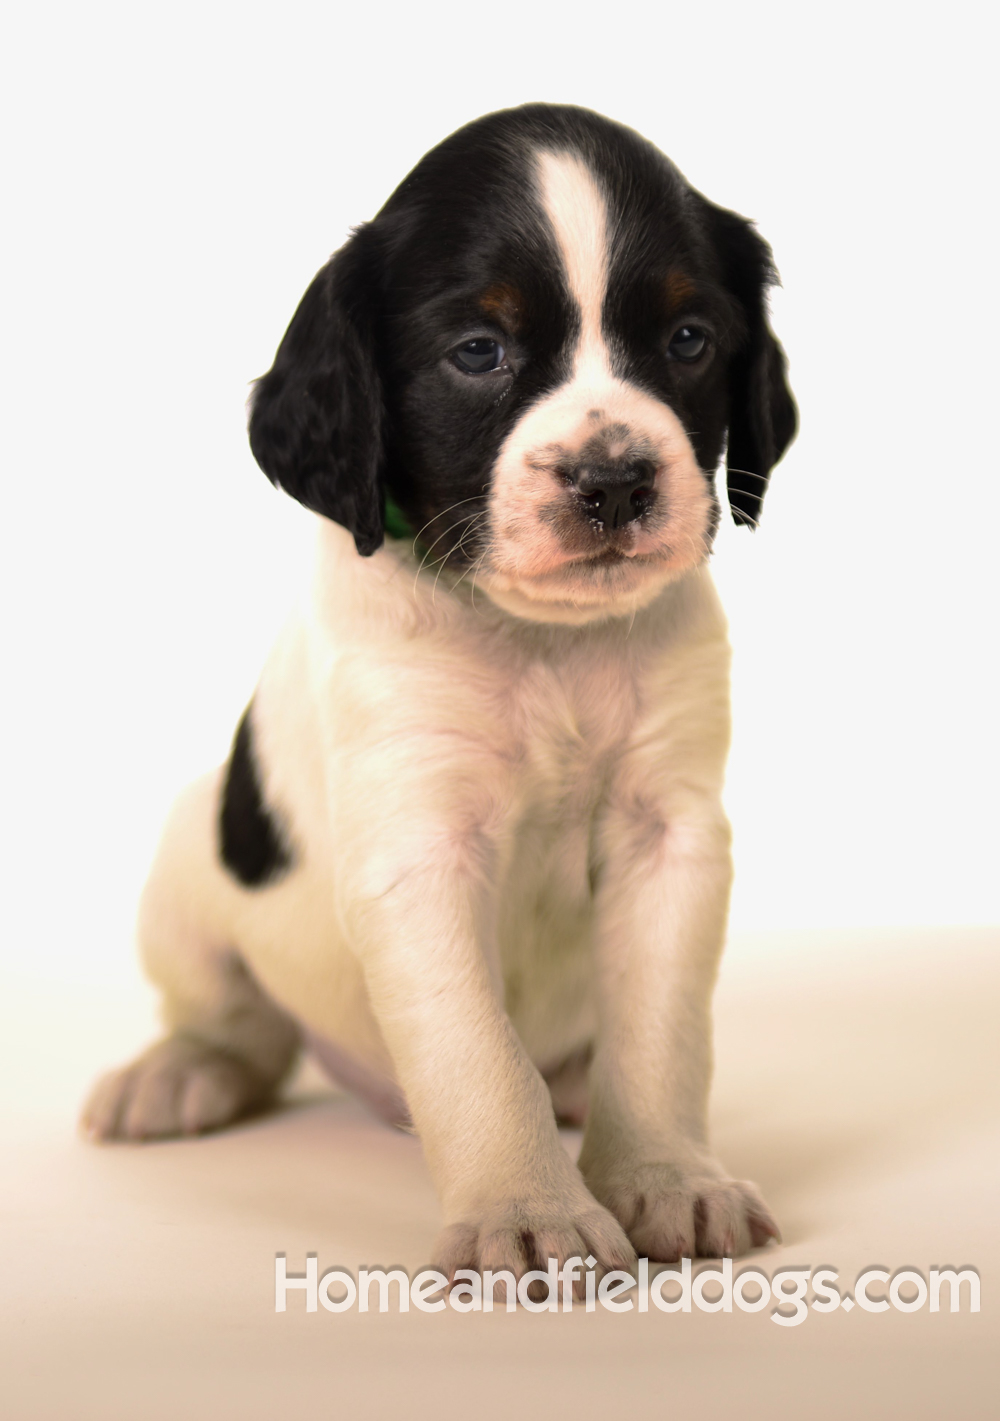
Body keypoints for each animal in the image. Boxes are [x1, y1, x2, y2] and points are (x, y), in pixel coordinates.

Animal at [82, 103, 795, 1278]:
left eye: (689, 339)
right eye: (478, 352)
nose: (613, 479)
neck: (544, 643)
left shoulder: (670, 832)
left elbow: (658, 1032)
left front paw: (665, 1177)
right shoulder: (422, 852)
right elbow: (477, 1047)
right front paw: (531, 1206)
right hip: (193, 859)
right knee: (239, 1022)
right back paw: (178, 1070)